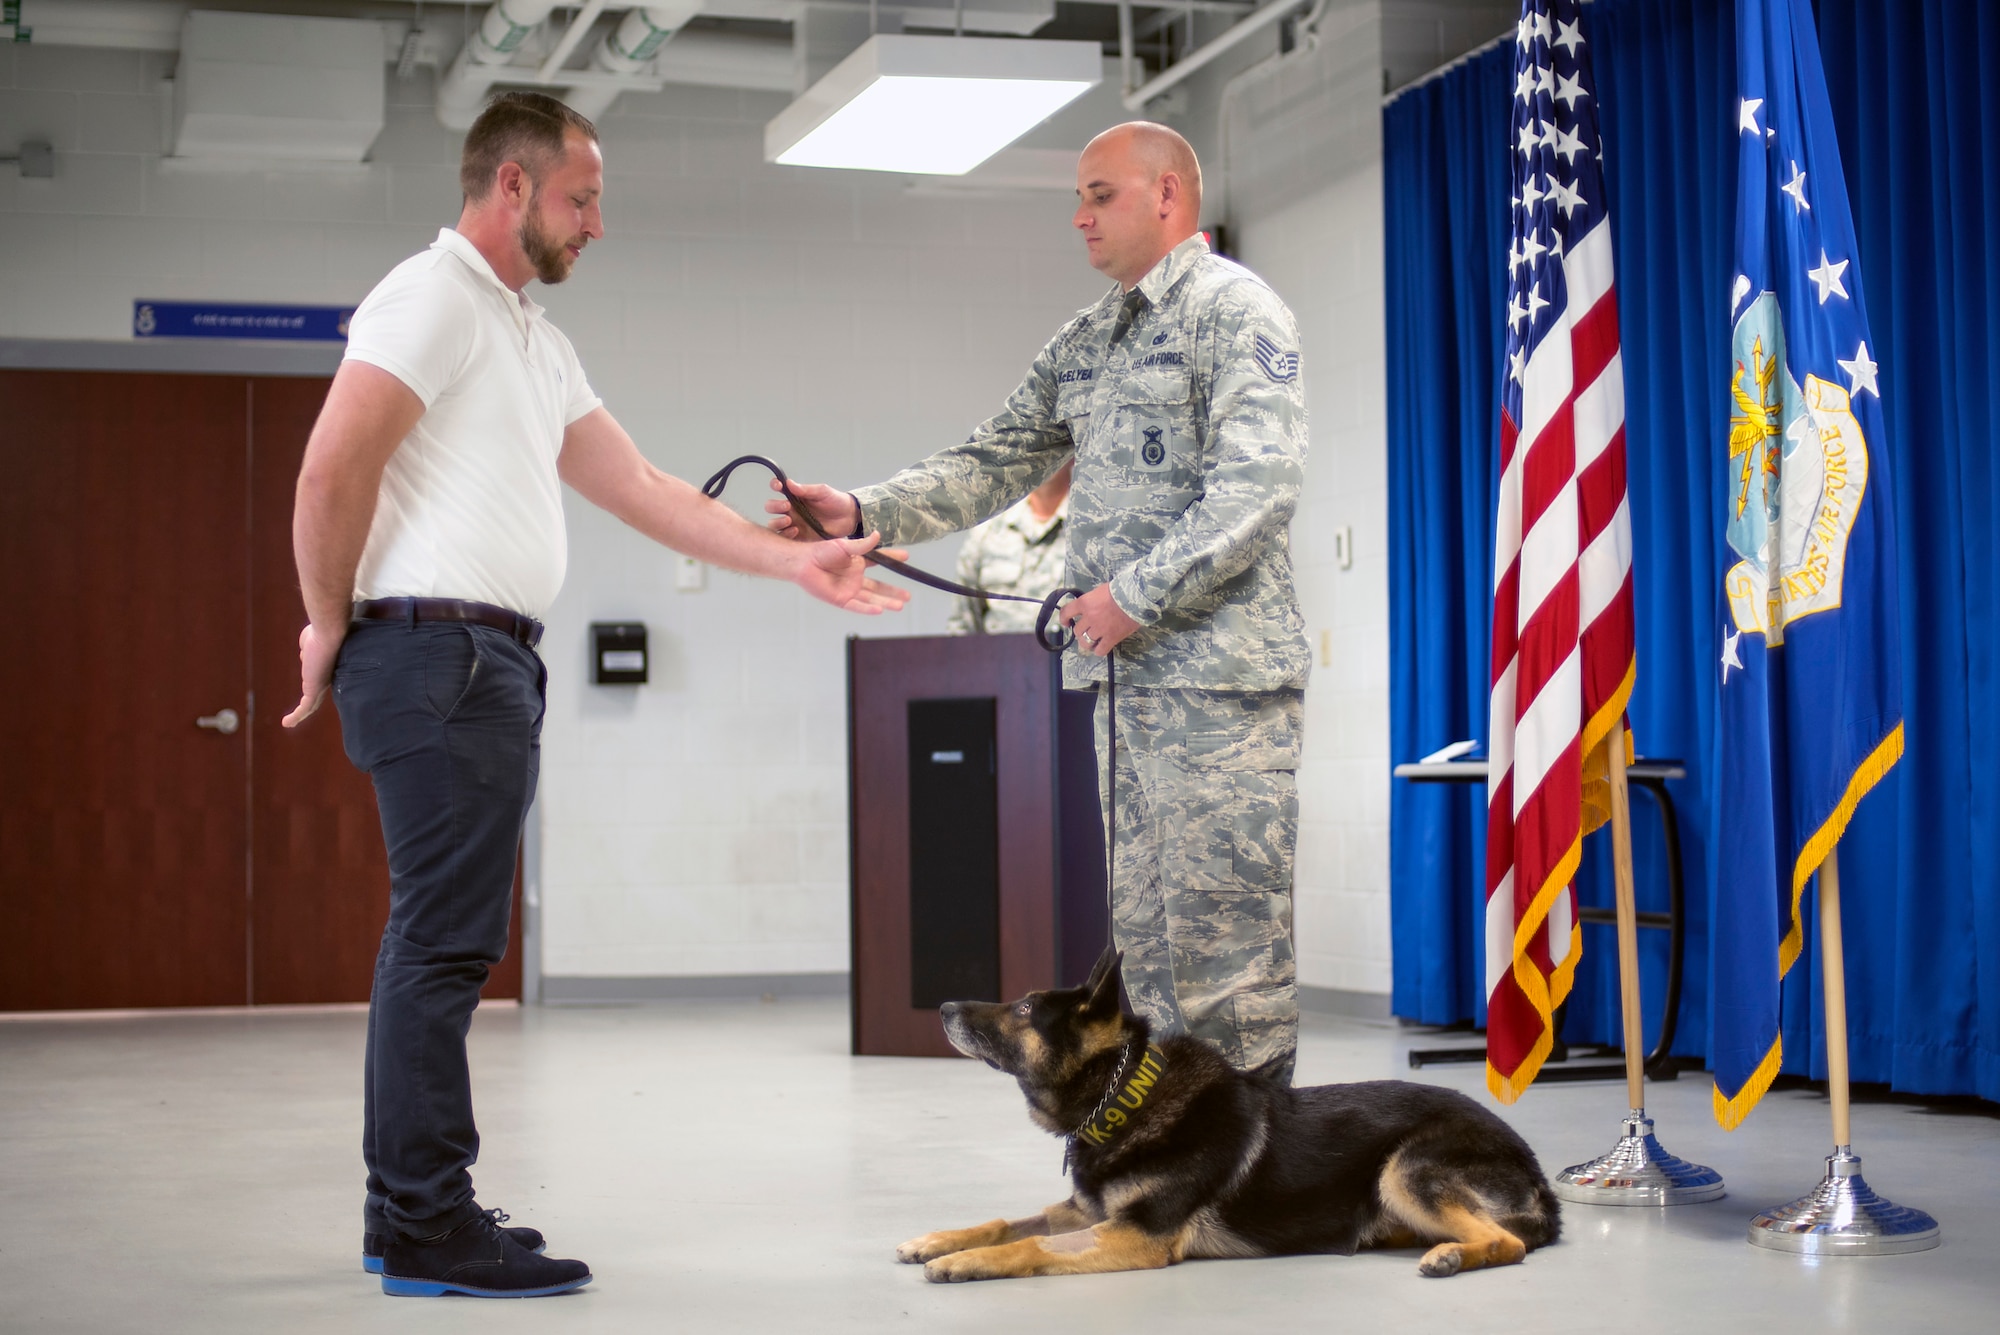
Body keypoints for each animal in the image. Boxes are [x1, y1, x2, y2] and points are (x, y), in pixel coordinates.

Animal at [904, 947, 1560, 1279]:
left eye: (1023, 1009)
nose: (943, 1006)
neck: (1126, 1097)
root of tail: (1536, 1173)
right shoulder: (1084, 1212)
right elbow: (1004, 1223)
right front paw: (937, 1240)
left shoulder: (1136, 1236)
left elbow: (1031, 1245)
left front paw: (964, 1261)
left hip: (1403, 1171)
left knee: (1509, 1242)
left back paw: (1453, 1256)